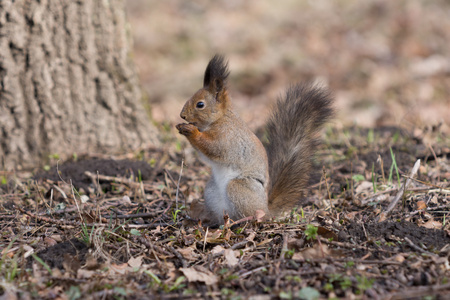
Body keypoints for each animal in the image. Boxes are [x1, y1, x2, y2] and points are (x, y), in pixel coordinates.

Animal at [178, 55, 332, 225]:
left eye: (200, 104)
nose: (182, 115)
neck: (221, 118)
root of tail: (267, 208)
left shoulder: (227, 136)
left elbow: (214, 148)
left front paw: (192, 131)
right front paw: (182, 128)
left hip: (239, 189)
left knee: (253, 216)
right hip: (211, 191)